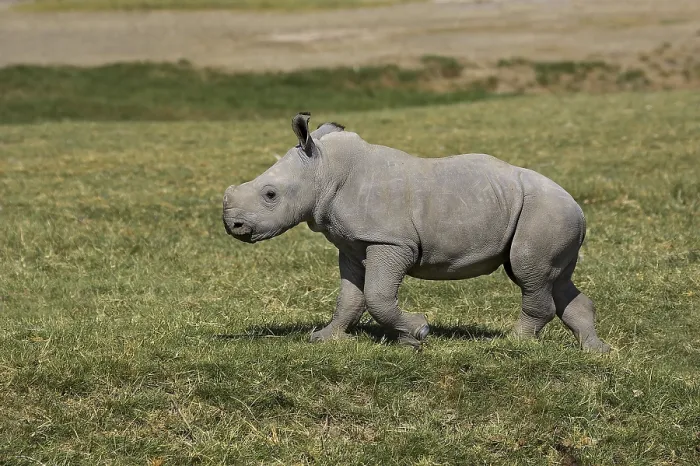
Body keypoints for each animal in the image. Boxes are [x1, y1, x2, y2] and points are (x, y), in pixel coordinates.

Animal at [222, 112, 610, 352]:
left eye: (270, 195)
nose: (233, 226)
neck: (325, 170)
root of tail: (577, 205)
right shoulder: (353, 245)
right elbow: (350, 298)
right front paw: (324, 339)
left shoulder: (389, 241)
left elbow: (377, 296)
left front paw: (418, 333)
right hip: (549, 214)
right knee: (552, 278)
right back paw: (595, 350)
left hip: (545, 212)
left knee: (530, 273)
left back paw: (510, 342)